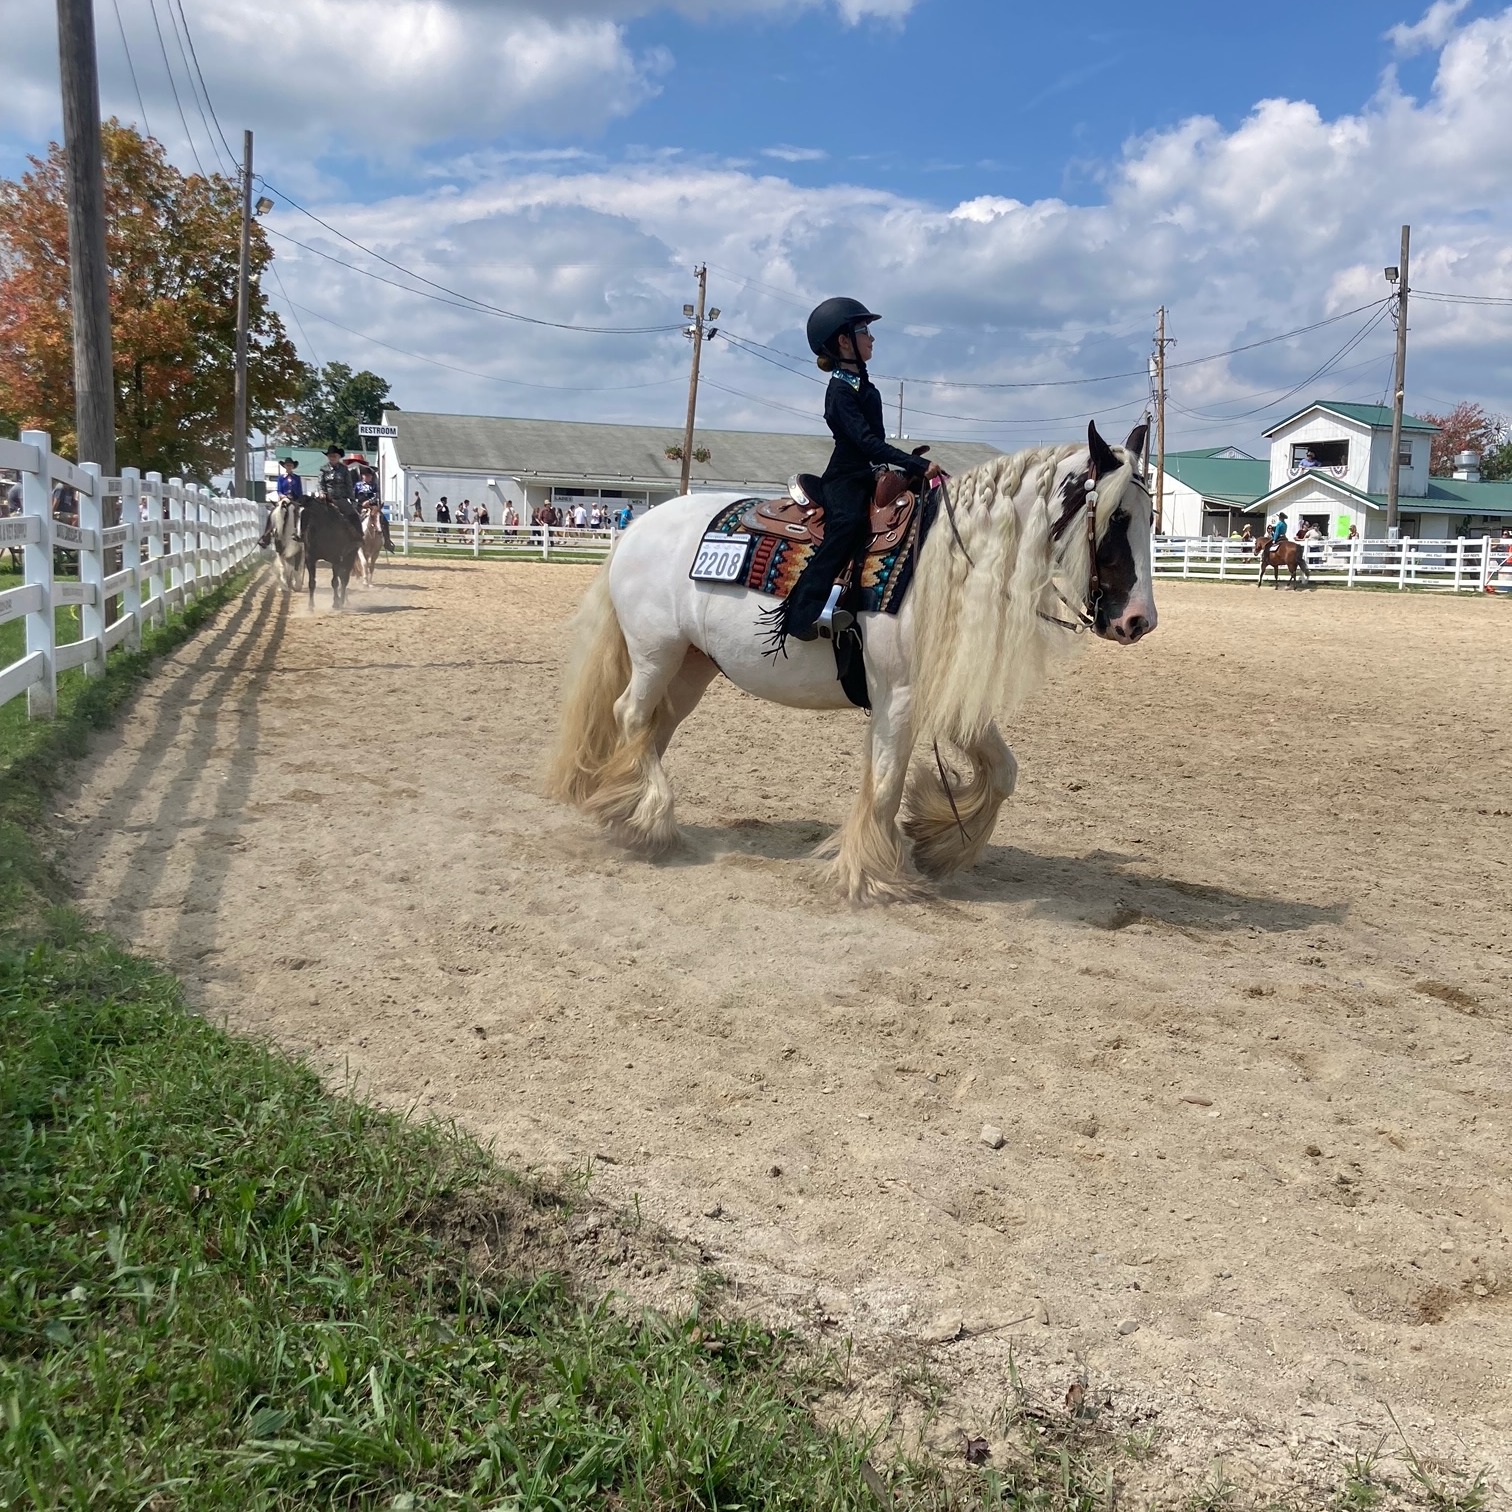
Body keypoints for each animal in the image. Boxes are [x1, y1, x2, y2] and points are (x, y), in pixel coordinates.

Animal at [550, 420, 1149, 901]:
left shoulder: (945, 694)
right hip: (656, 652)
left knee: (655, 726)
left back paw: (631, 812)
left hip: (692, 666)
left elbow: (1002, 772)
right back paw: (646, 821)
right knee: (630, 714)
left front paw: (938, 848)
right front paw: (873, 877)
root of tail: (635, 528)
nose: (1139, 620)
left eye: (1150, 517)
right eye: (1117, 516)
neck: (946, 562)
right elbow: (884, 786)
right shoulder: (898, 697)